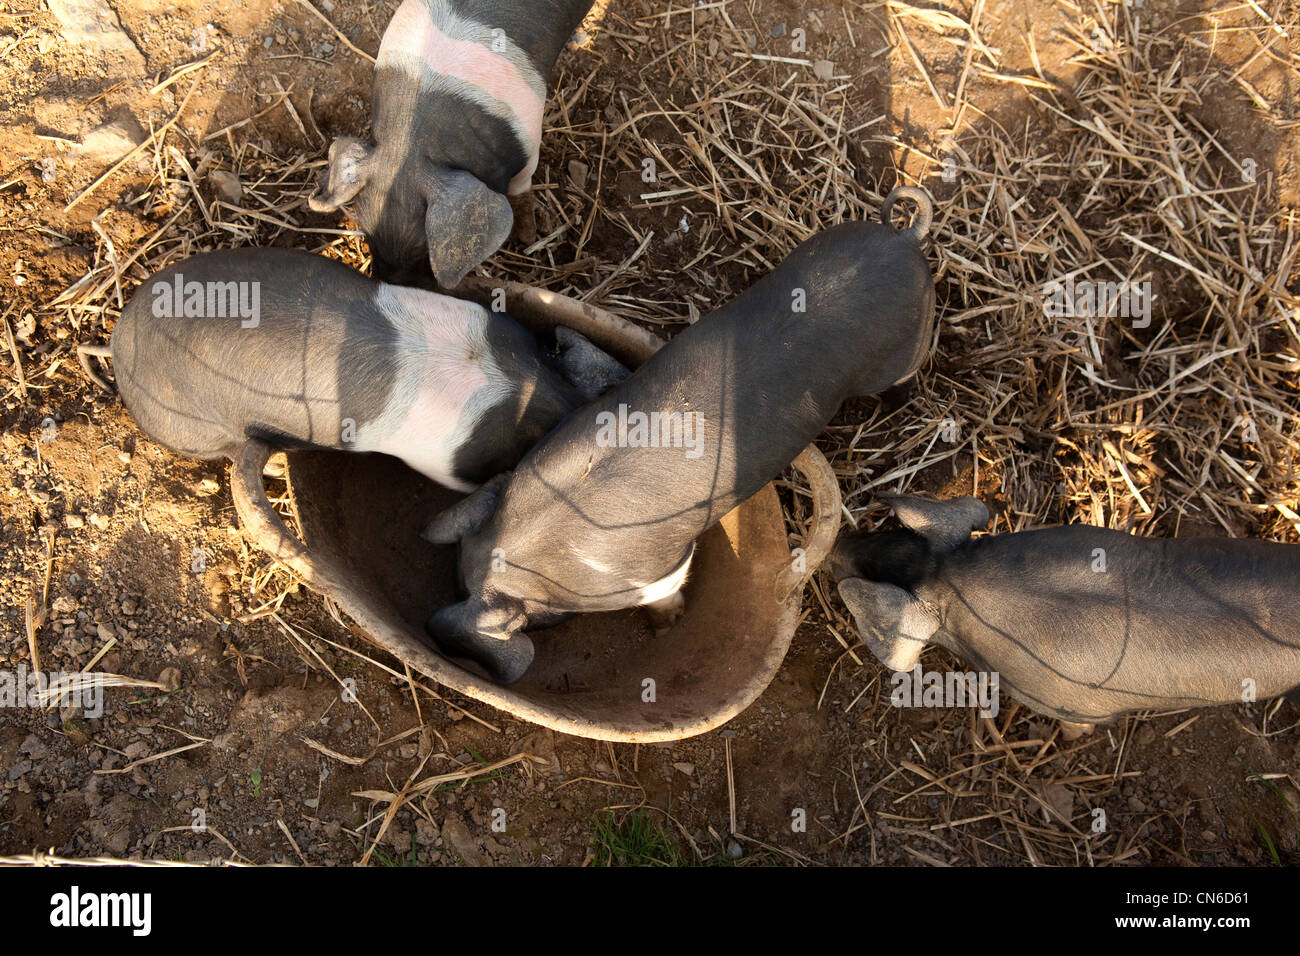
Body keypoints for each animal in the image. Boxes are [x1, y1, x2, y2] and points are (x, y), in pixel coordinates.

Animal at [308, 0, 597, 284]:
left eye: (424, 248)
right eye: (366, 229)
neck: (411, 144)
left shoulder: (529, 138)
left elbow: (522, 190)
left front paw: (527, 237)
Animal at [424, 187, 938, 683]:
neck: (535, 549)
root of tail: (903, 239)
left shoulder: (659, 570)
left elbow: (668, 587)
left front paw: (666, 626)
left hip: (902, 351)